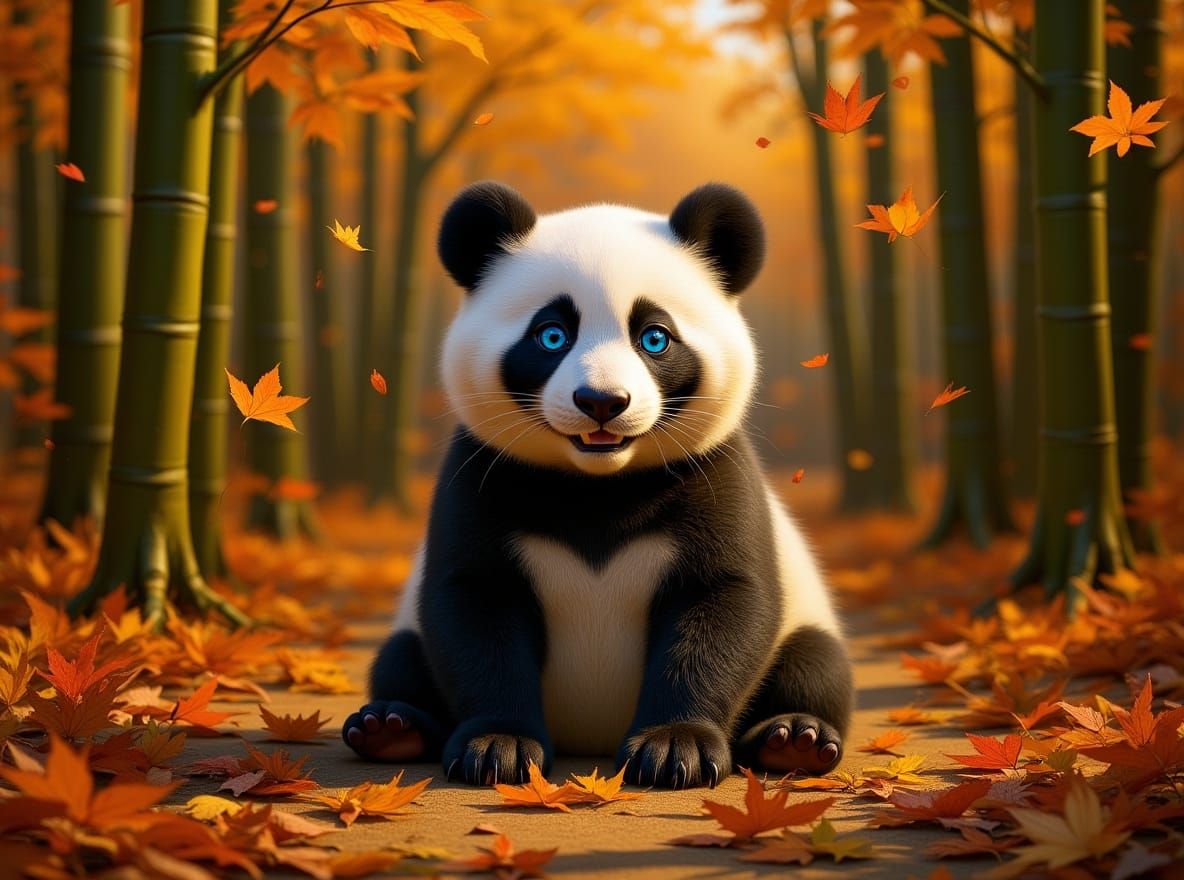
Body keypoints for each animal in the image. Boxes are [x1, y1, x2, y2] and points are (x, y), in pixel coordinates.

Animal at [343, 181, 853, 789]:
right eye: (552, 335)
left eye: (654, 338)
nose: (602, 402)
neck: (599, 488)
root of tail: (589, 736)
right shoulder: (481, 473)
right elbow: (474, 607)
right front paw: (498, 747)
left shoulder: (715, 473)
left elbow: (721, 602)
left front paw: (675, 748)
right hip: (408, 635)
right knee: (399, 660)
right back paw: (390, 728)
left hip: (806, 619)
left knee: (816, 665)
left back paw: (794, 739)